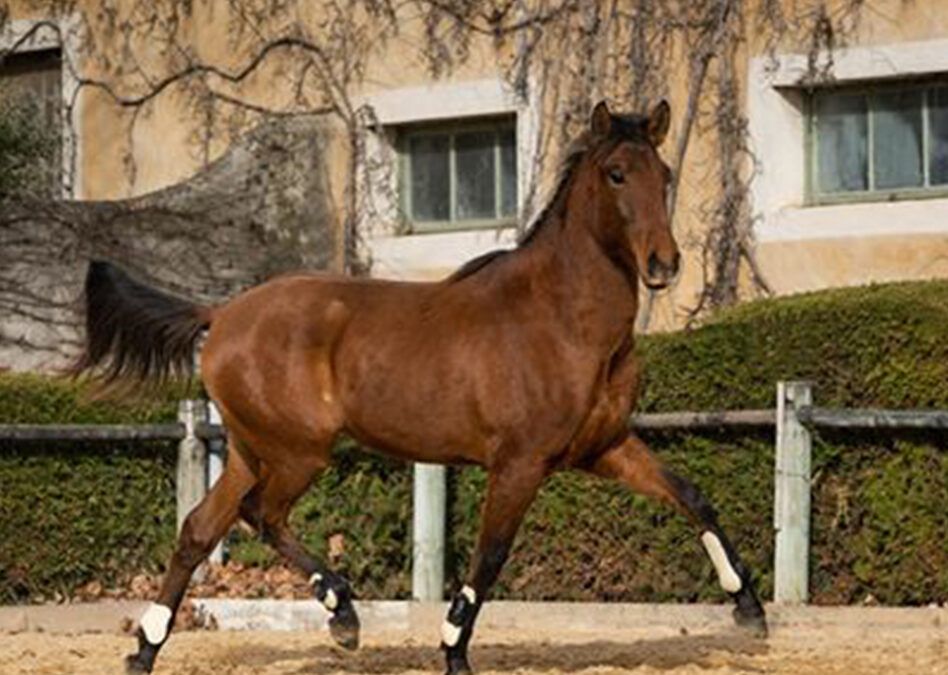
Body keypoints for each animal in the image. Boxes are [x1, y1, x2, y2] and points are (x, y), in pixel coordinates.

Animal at [78, 100, 768, 675]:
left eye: (666, 175)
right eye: (617, 174)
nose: (663, 264)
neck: (561, 319)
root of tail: (220, 315)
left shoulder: (604, 448)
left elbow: (693, 497)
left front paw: (750, 611)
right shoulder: (520, 463)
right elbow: (490, 557)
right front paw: (453, 650)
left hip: (254, 451)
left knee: (200, 529)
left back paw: (145, 650)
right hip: (298, 452)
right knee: (260, 515)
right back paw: (342, 613)